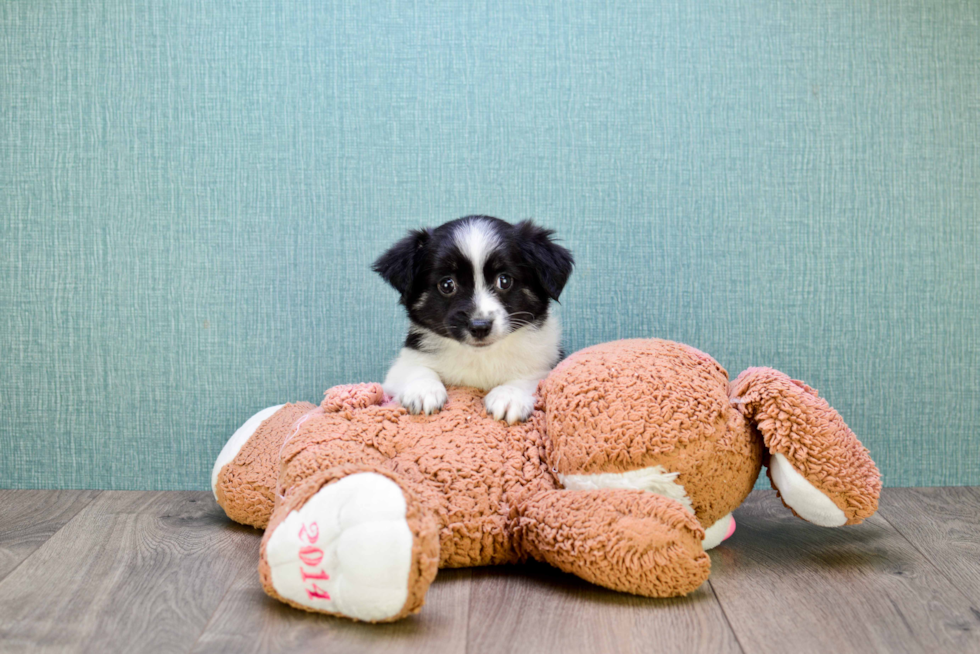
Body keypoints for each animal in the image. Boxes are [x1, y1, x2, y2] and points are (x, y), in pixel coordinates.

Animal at [374, 215, 576, 426]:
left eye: (504, 280)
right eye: (447, 285)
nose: (480, 327)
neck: (480, 357)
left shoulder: (545, 363)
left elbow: (529, 377)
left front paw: (509, 396)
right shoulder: (401, 367)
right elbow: (416, 369)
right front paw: (423, 390)